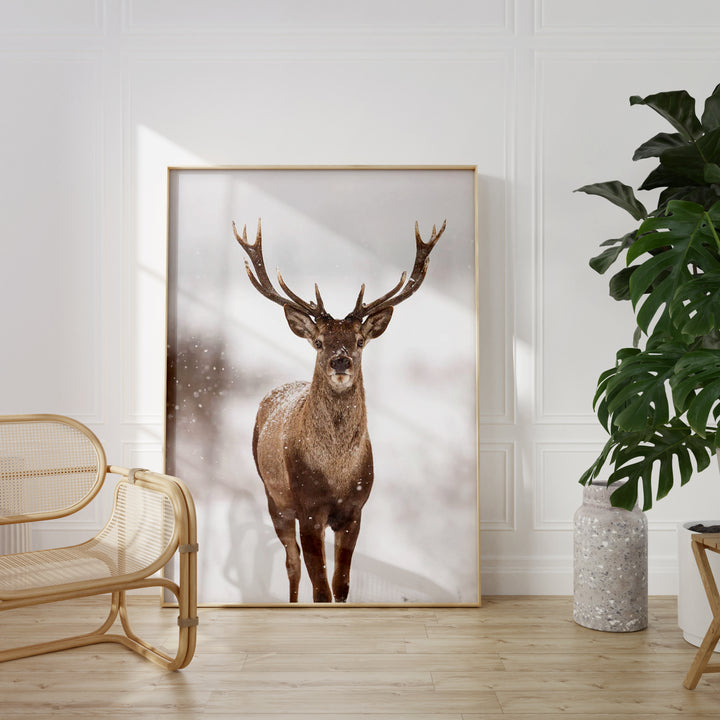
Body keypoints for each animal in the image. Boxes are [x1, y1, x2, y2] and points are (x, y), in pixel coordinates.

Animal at [233, 218, 446, 603]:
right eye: (319, 342)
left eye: (359, 341)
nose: (341, 360)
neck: (335, 474)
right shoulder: (308, 508)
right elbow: (321, 589)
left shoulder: (355, 510)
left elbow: (341, 585)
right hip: (274, 496)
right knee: (291, 563)